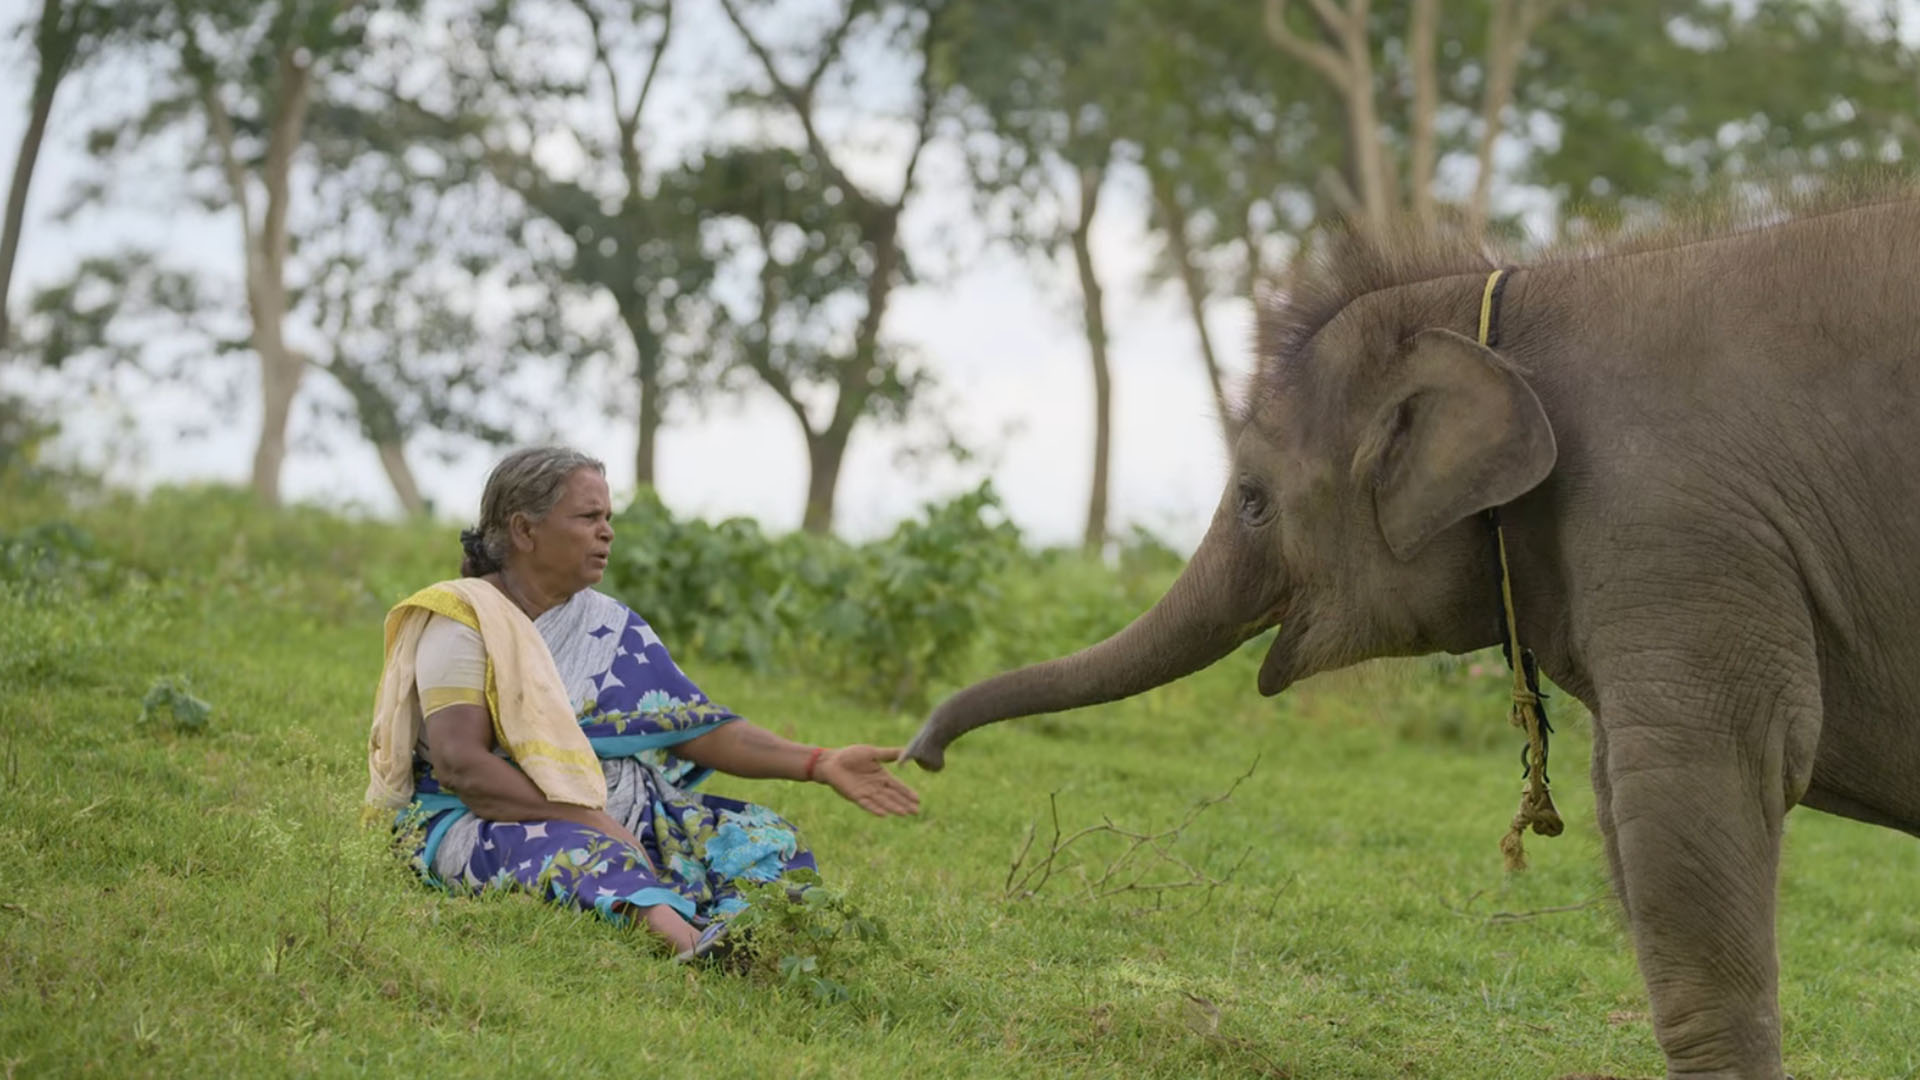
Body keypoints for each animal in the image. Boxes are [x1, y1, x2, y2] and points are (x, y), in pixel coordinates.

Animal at [904, 195, 1920, 1079]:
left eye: (1253, 500)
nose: (921, 759)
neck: (1503, 297)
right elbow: (1622, 808)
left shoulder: (1679, 529)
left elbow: (1693, 787)